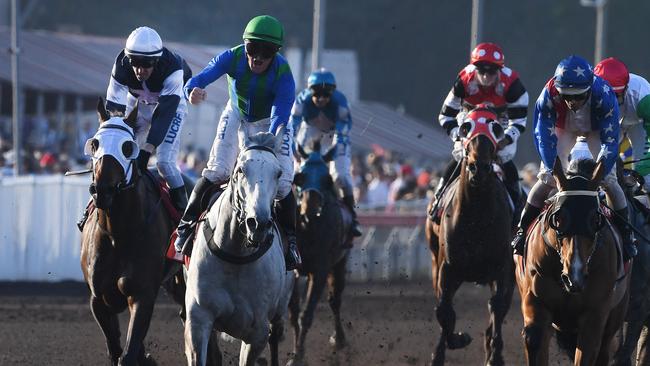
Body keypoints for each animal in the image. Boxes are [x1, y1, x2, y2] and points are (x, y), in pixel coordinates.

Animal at [80, 101, 184, 366]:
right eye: (95, 143)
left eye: (128, 147)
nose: (102, 190)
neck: (119, 233)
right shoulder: (98, 298)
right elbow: (116, 348)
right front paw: (144, 356)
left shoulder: (142, 294)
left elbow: (127, 353)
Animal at [288, 143, 352, 366]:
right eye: (299, 177)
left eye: (327, 179)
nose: (311, 204)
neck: (309, 228)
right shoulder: (293, 270)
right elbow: (294, 313)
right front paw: (296, 353)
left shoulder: (321, 270)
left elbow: (306, 315)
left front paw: (298, 356)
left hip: (340, 263)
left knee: (335, 300)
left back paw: (339, 339)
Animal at [426, 116, 512, 366]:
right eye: (466, 127)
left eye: (496, 128)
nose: (479, 167)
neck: (476, 215)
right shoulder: (448, 267)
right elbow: (443, 309)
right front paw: (453, 342)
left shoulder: (503, 267)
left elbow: (497, 306)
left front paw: (495, 356)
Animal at [512, 156, 628, 364]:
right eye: (558, 218)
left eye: (595, 220)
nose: (575, 275)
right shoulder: (536, 305)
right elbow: (534, 339)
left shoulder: (594, 316)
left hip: (616, 312)